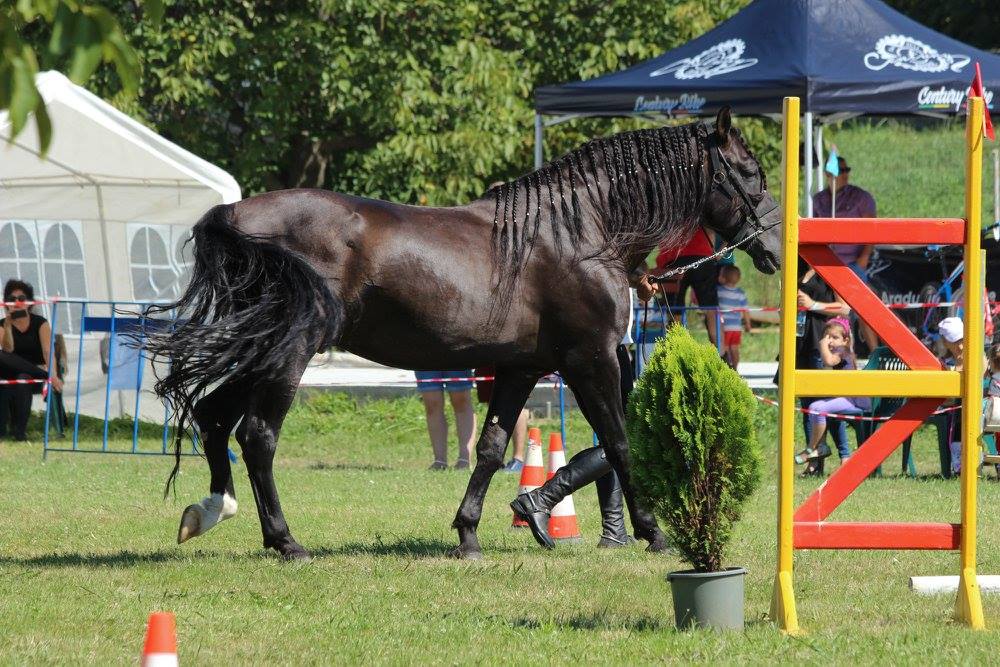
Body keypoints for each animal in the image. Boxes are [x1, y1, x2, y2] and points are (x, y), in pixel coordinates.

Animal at [145, 107, 780, 560]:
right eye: (751, 174)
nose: (775, 249)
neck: (576, 232)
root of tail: (236, 216)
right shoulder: (590, 360)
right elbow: (620, 441)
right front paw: (654, 532)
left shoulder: (522, 367)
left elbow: (493, 447)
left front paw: (470, 533)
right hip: (288, 355)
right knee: (256, 436)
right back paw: (285, 541)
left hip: (262, 349)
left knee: (214, 418)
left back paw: (209, 511)